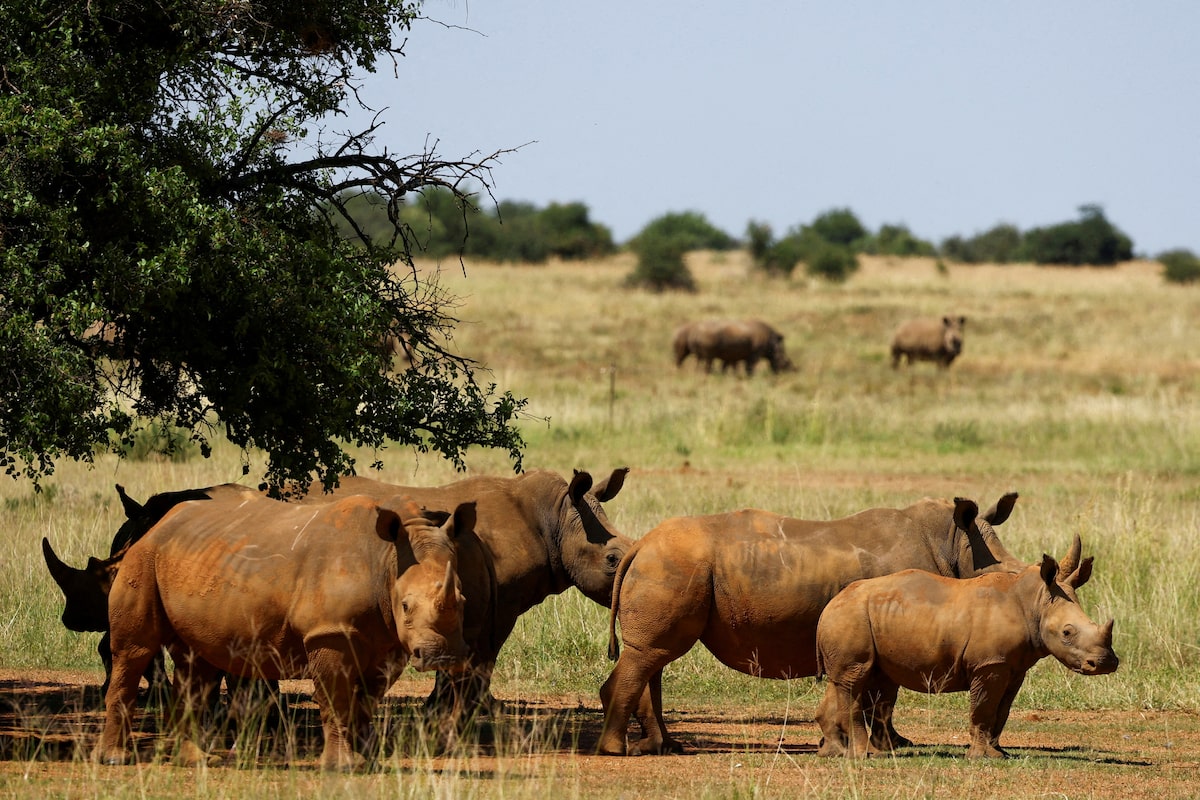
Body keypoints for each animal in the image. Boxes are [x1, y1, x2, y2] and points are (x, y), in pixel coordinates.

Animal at [96, 492, 476, 770]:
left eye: (462, 600)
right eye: (407, 606)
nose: (443, 657)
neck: (386, 558)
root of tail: (152, 525)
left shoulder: (387, 643)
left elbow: (366, 701)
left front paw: (367, 760)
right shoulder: (328, 633)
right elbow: (336, 699)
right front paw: (343, 767)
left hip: (190, 560)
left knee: (197, 664)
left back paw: (195, 760)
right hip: (143, 558)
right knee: (134, 651)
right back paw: (115, 760)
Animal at [308, 468, 631, 719]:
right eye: (611, 559)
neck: (558, 519)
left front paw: (438, 707)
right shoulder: (500, 601)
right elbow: (487, 653)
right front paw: (485, 708)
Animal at [597, 494, 1033, 756]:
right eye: (1006, 577)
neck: (955, 544)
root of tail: (640, 544)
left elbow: (878, 691)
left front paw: (876, 744)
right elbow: (884, 695)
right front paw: (888, 747)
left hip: (671, 565)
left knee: (654, 657)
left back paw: (662, 746)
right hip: (674, 565)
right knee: (651, 655)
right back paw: (620, 749)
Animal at [815, 544, 1118, 758]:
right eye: (1067, 633)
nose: (1106, 663)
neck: (1034, 603)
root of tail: (829, 604)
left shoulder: (1014, 666)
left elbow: (1001, 711)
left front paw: (998, 753)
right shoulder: (989, 664)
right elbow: (984, 708)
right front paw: (981, 757)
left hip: (863, 618)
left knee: (861, 679)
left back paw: (846, 753)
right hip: (850, 616)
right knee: (855, 679)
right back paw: (862, 756)